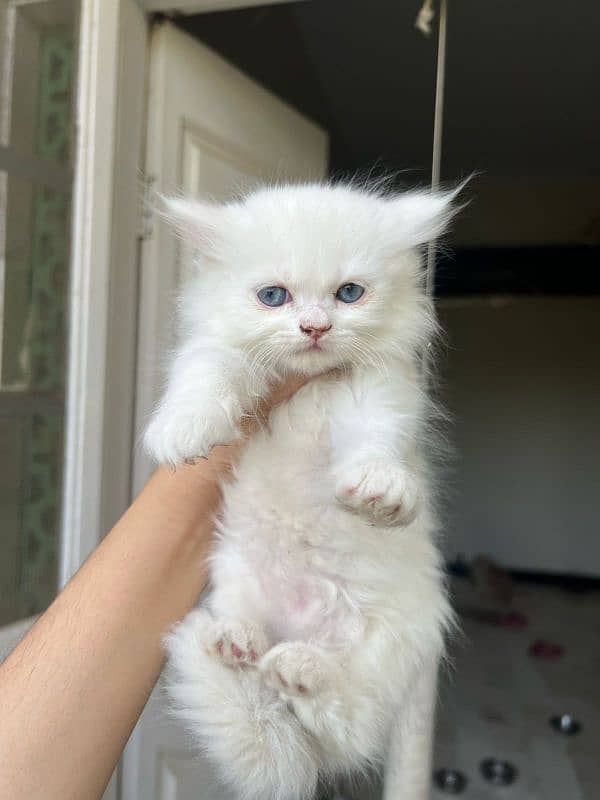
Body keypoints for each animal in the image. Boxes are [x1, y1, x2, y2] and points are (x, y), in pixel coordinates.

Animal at [148, 183, 458, 800]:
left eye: (349, 294)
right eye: (274, 297)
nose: (315, 327)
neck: (308, 392)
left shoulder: (380, 392)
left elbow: (375, 442)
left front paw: (379, 490)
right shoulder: (218, 352)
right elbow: (205, 373)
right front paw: (182, 429)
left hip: (391, 642)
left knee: (344, 721)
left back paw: (301, 670)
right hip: (237, 576)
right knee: (284, 709)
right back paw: (234, 643)